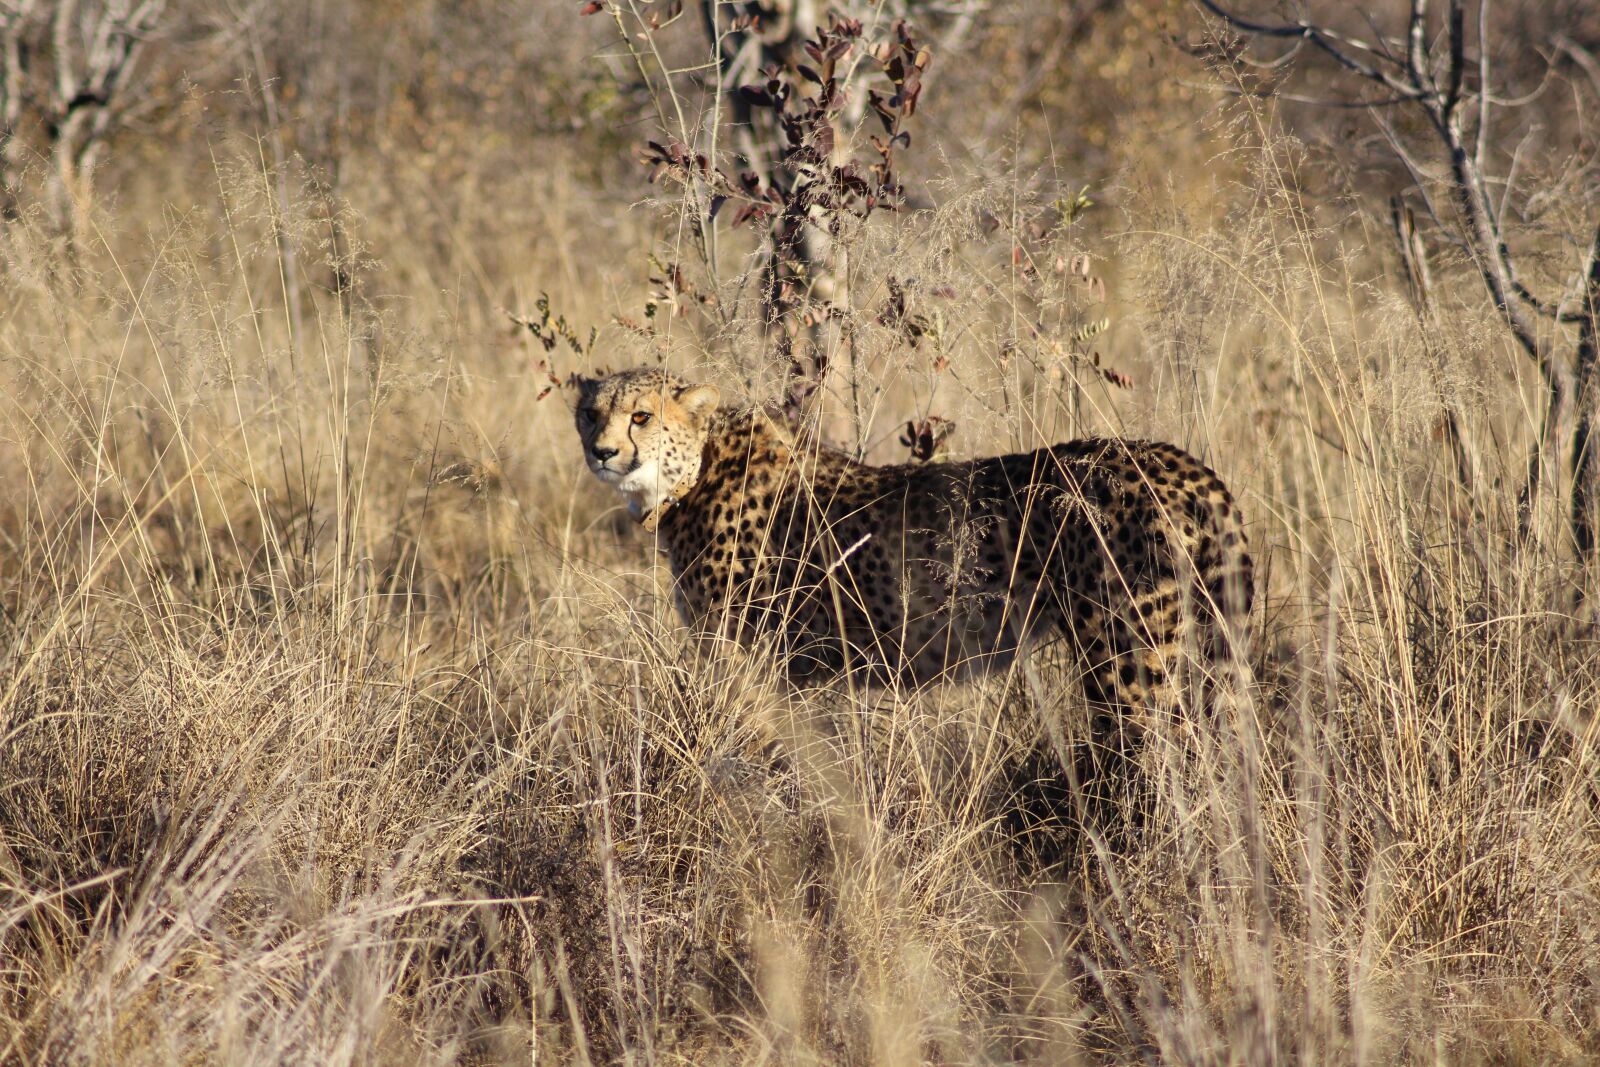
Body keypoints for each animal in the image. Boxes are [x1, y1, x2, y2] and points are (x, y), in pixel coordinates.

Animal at [571, 366, 1253, 713]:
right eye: (589, 413)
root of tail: (1173, 457)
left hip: (1128, 658)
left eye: (641, 416)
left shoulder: (752, 663)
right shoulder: (807, 674)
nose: (601, 452)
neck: (696, 470)